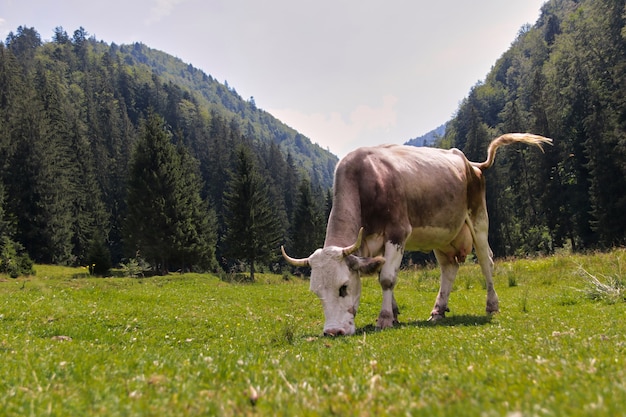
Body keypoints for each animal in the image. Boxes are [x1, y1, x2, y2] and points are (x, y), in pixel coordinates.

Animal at [280, 133, 548, 334]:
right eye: (316, 292)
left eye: (343, 287)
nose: (333, 332)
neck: (367, 180)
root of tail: (470, 163)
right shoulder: (368, 243)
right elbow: (380, 273)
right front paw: (395, 313)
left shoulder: (397, 232)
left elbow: (387, 278)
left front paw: (385, 318)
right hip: (443, 236)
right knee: (449, 269)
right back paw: (438, 311)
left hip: (479, 219)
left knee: (486, 261)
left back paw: (491, 306)